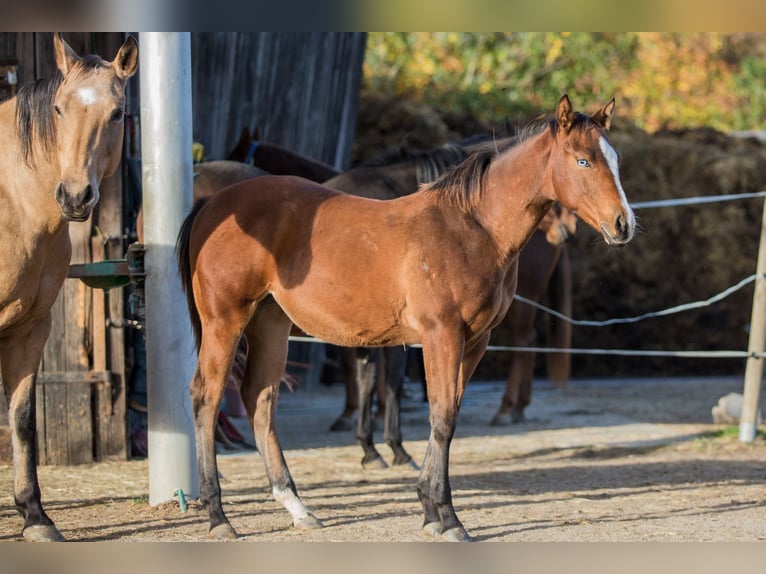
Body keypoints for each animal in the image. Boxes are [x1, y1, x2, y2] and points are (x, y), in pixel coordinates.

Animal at [0, 33, 138, 542]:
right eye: (58, 109)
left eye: (117, 113)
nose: (75, 197)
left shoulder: (30, 327)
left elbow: (22, 419)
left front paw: (35, 516)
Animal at [176, 95, 635, 541]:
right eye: (583, 161)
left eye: (615, 159)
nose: (623, 224)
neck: (474, 227)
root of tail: (212, 205)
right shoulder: (440, 336)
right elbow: (441, 417)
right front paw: (448, 517)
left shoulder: (475, 341)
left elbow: (446, 416)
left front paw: (430, 511)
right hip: (225, 321)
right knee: (206, 397)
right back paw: (218, 516)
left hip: (271, 322)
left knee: (260, 399)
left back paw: (298, 508)